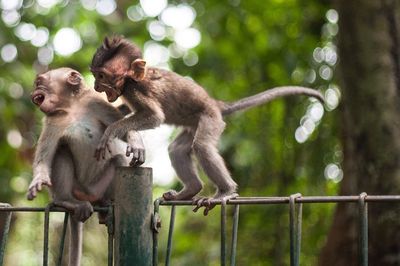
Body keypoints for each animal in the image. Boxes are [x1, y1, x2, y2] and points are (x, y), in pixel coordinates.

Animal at [90, 35, 322, 214]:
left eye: (101, 76)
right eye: (94, 75)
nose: (95, 85)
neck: (130, 79)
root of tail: (215, 103)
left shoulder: (133, 89)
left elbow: (155, 116)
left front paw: (113, 131)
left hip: (210, 118)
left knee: (201, 146)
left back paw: (225, 192)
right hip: (194, 124)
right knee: (177, 148)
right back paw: (190, 190)